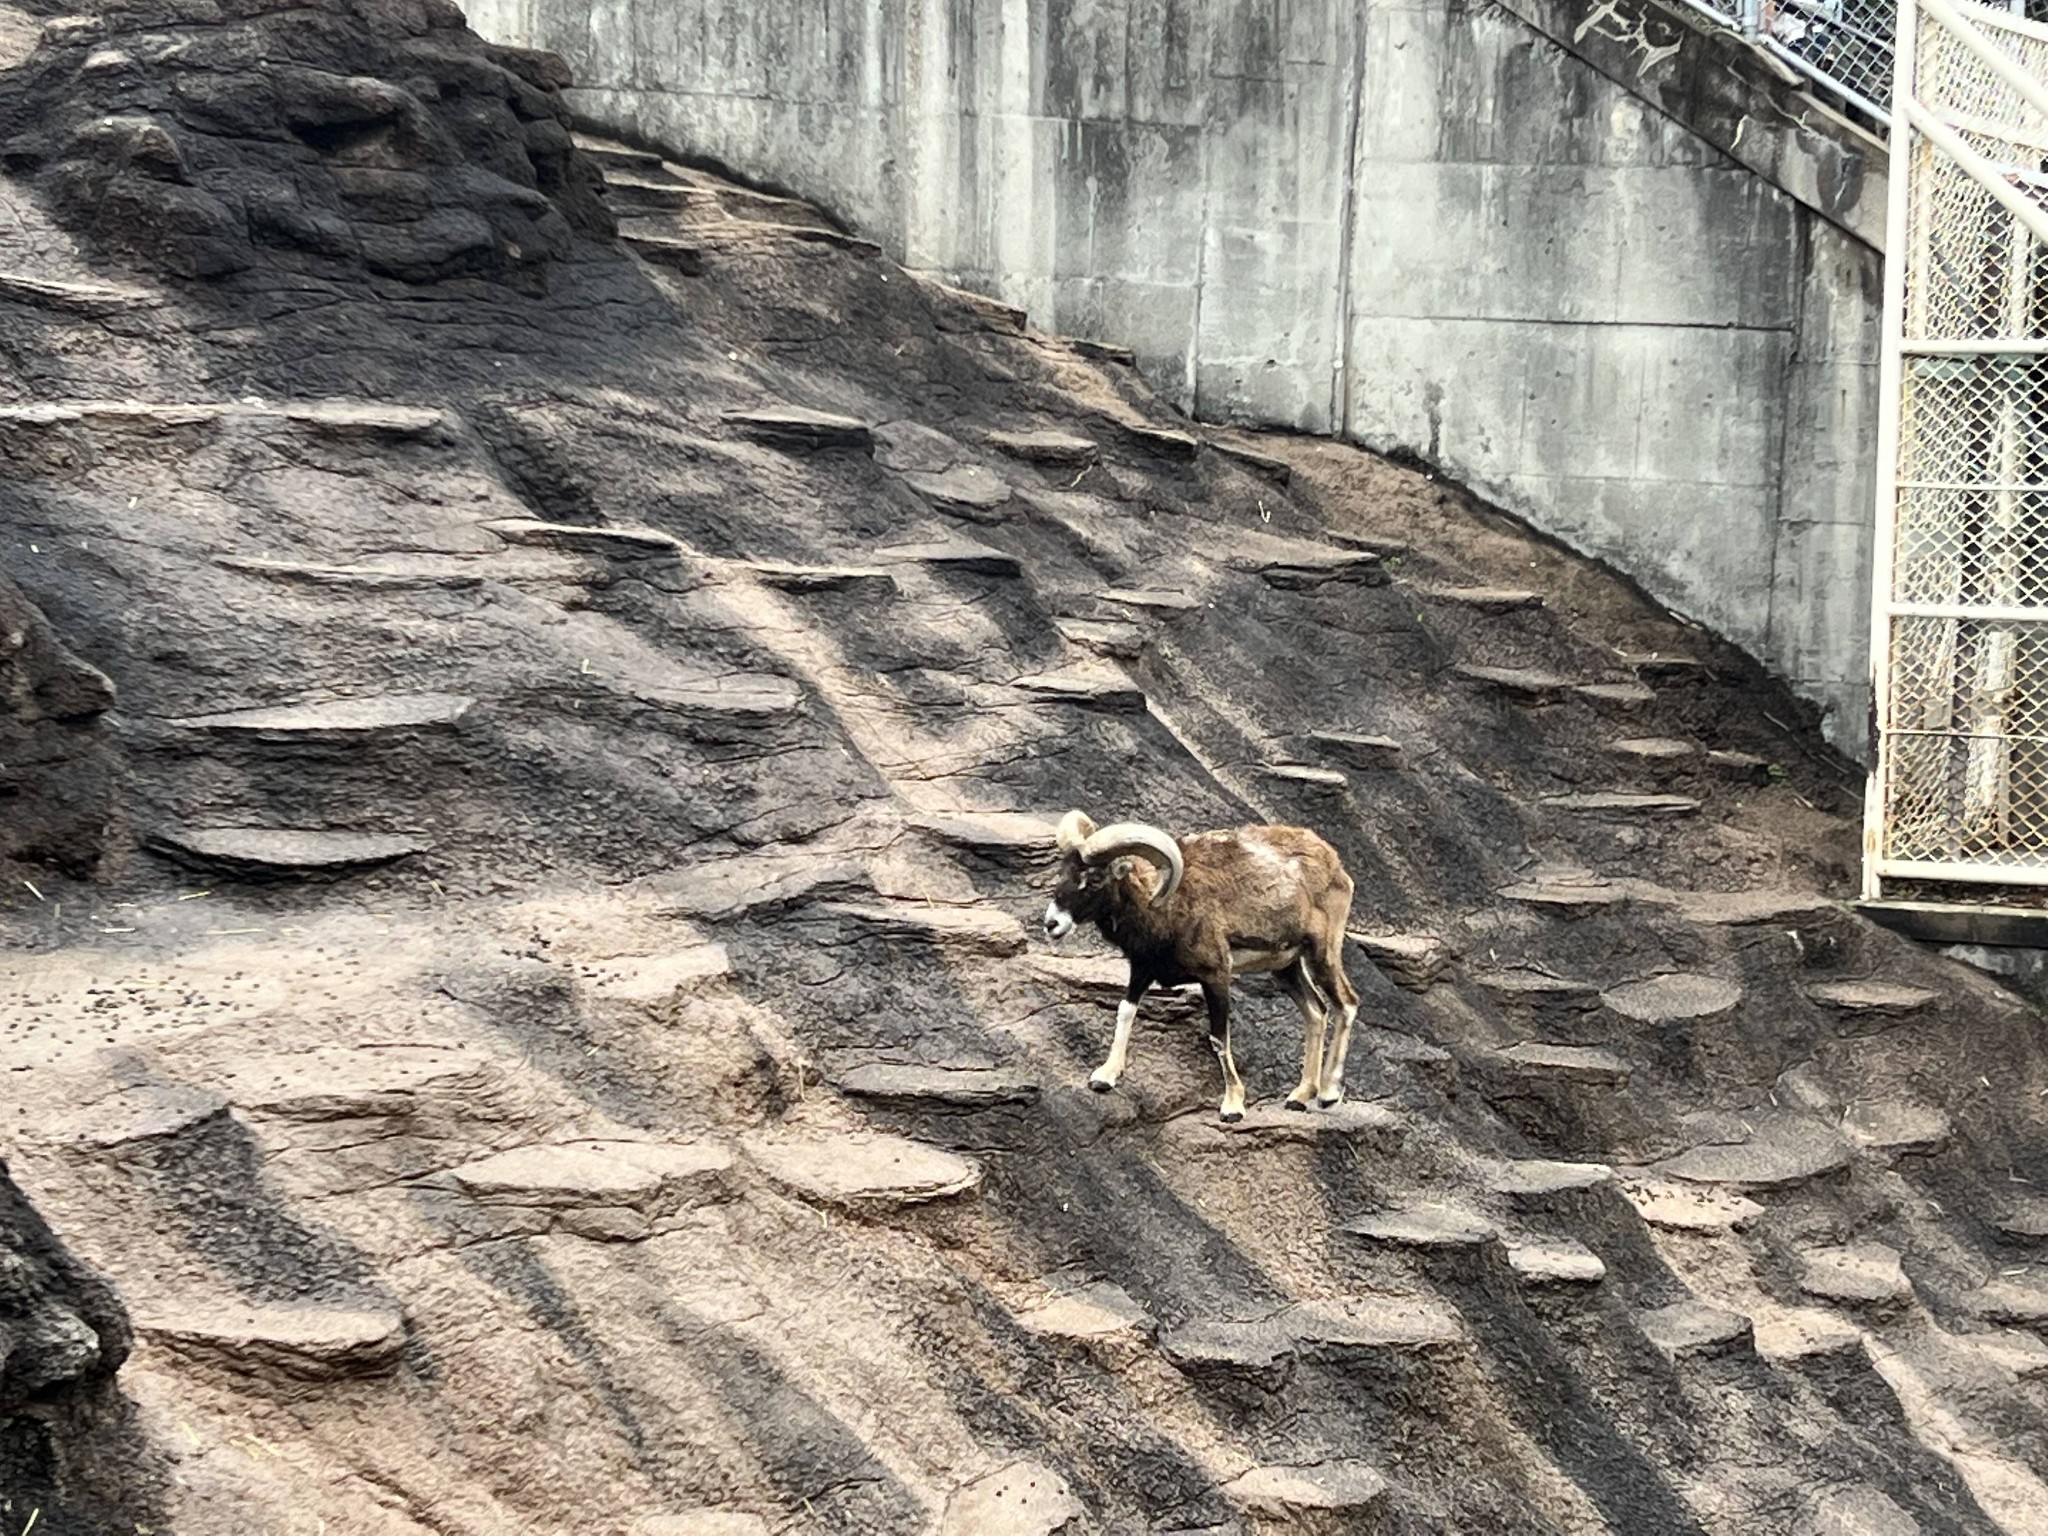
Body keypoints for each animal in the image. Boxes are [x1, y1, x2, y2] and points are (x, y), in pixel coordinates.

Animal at [1040, 811, 1359, 1122]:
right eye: (1063, 873)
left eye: (1094, 879)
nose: (1051, 924)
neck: (1163, 908)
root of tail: (1334, 863)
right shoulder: (1142, 971)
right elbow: (1125, 1012)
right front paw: (1104, 1078)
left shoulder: (1215, 976)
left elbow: (1218, 1037)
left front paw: (1232, 1107)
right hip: (1286, 967)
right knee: (1316, 1011)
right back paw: (1299, 1097)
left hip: (1322, 954)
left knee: (1346, 1003)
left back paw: (1328, 1094)